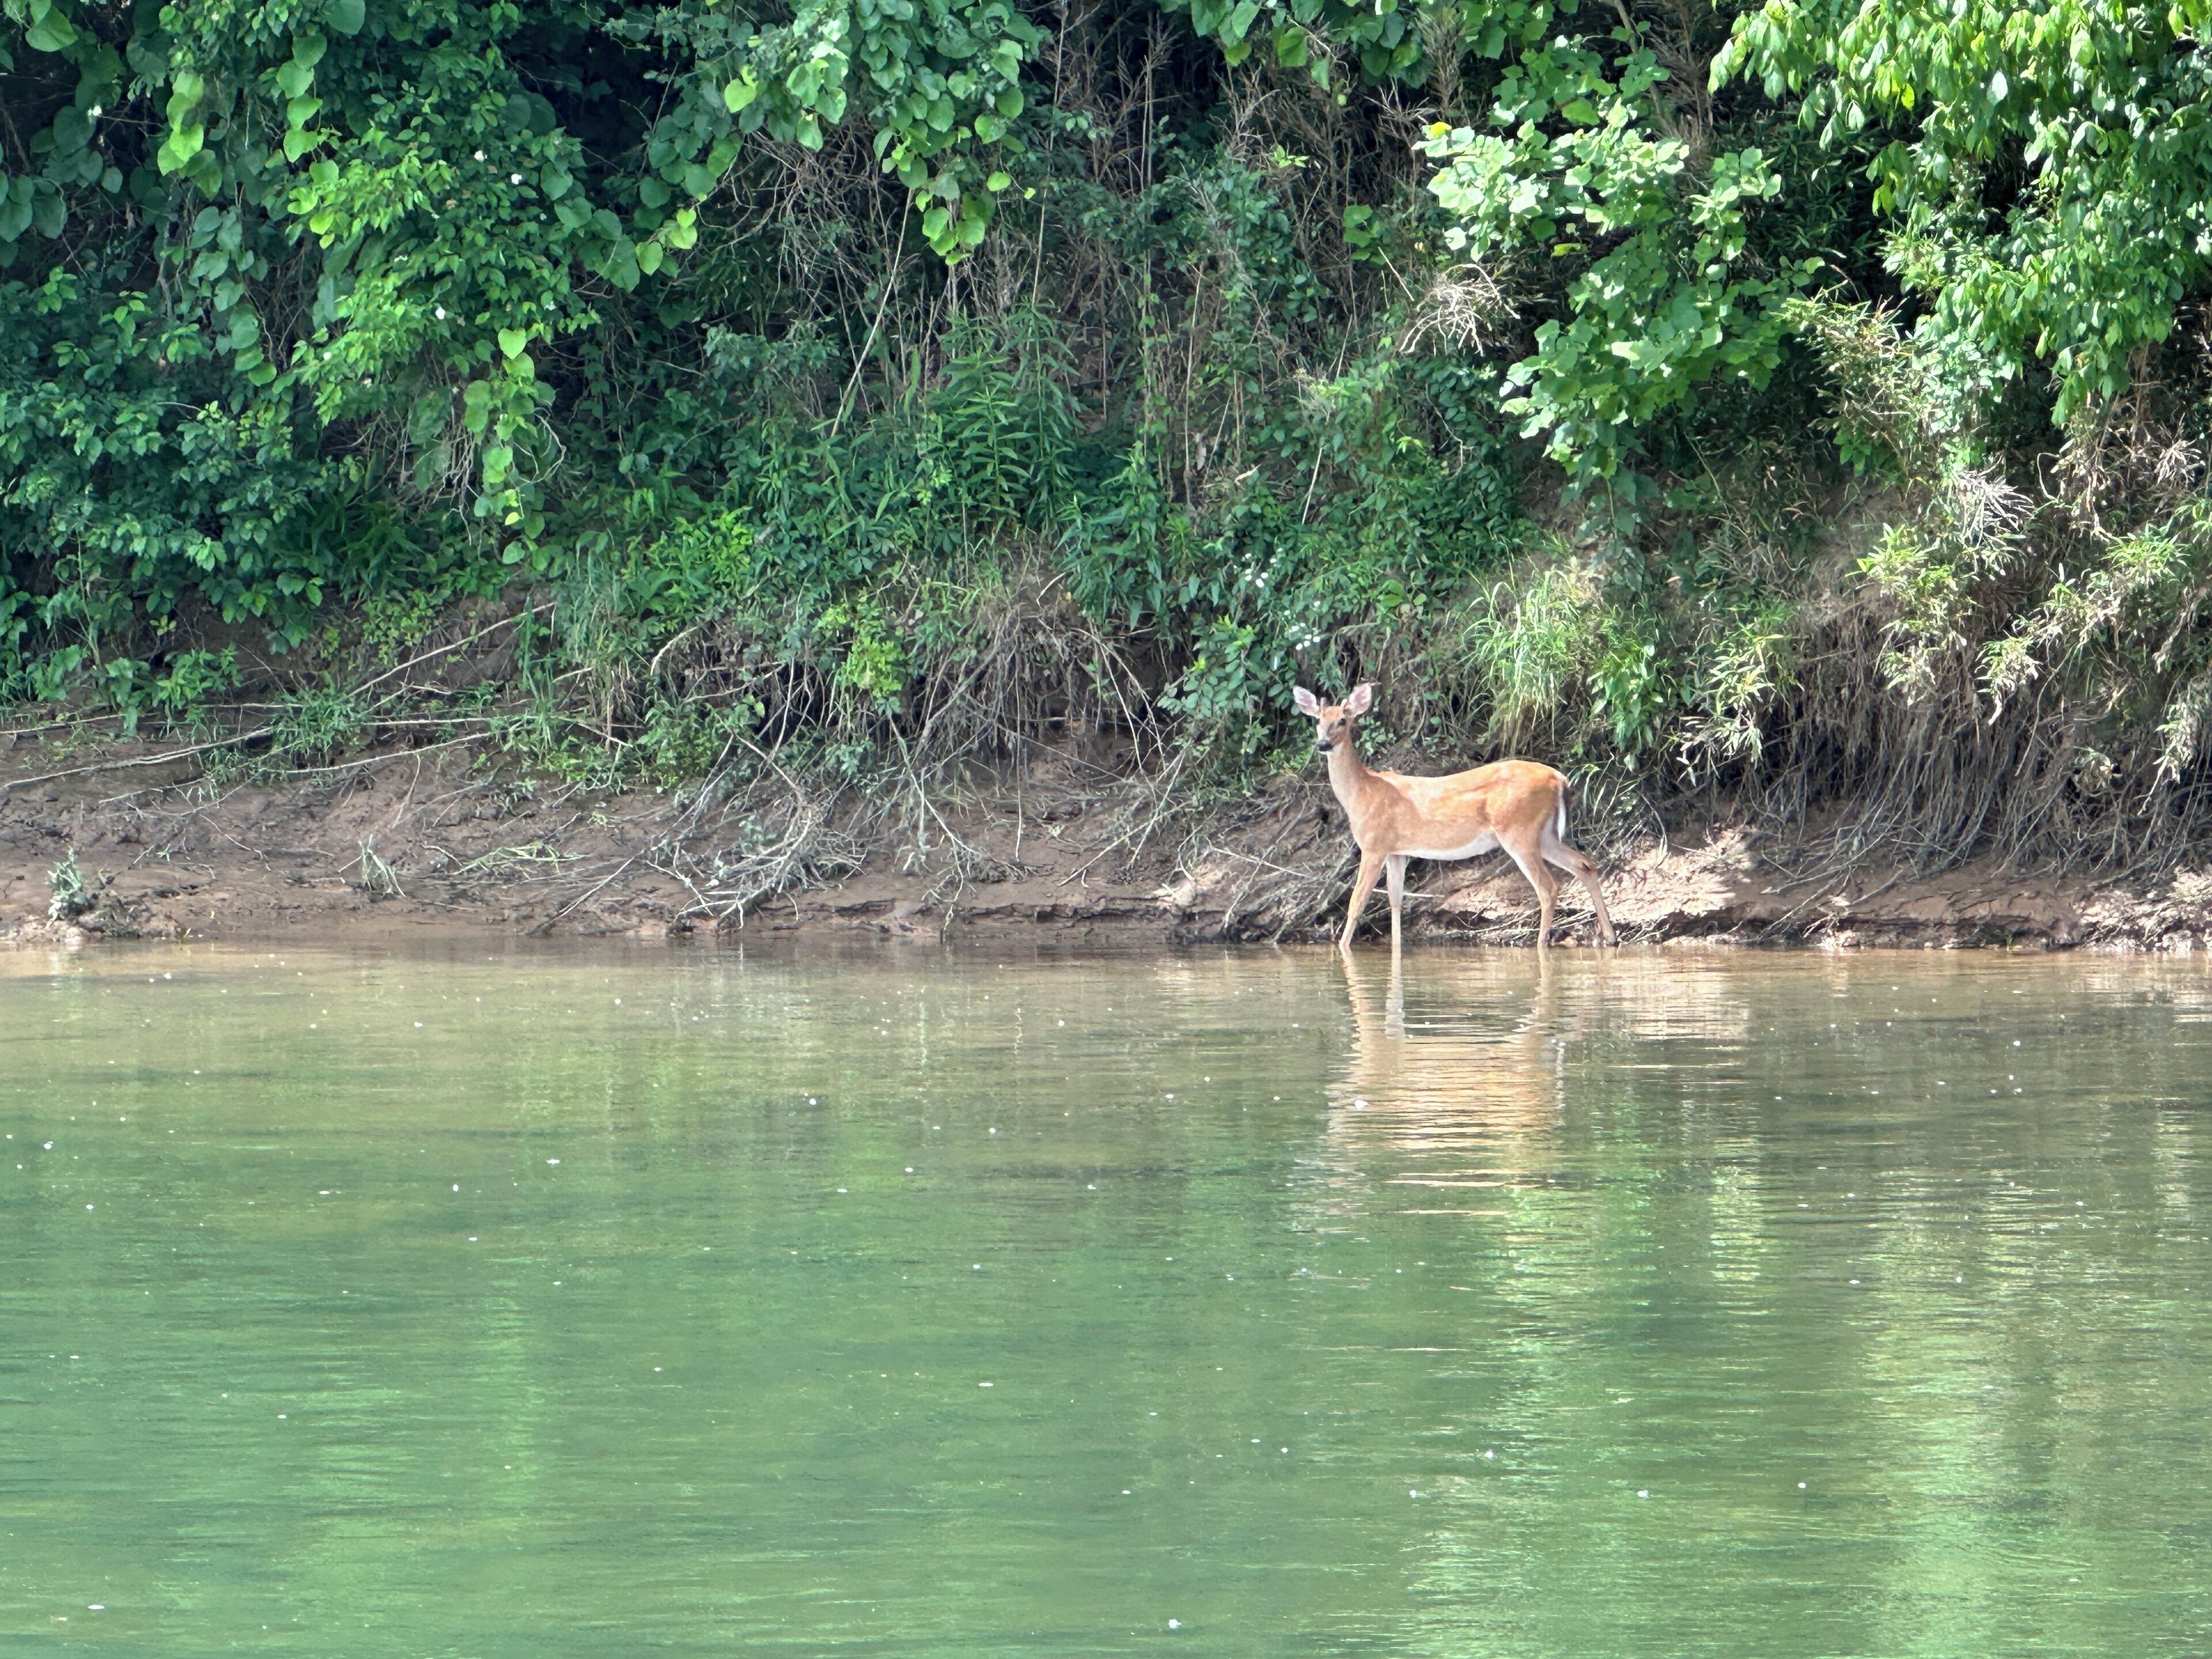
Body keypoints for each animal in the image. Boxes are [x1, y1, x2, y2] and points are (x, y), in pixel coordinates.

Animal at [1292, 683, 1618, 954]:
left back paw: (1542, 944)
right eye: (1318, 720)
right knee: (1586, 865)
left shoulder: (1374, 845)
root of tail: (1559, 779)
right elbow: (1396, 901)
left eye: (1343, 721)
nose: (1323, 744)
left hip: (1519, 832)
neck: (1362, 792)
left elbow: (1357, 901)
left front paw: (1343, 949)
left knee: (1548, 888)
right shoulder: (1398, 852)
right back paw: (1610, 937)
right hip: (1545, 835)